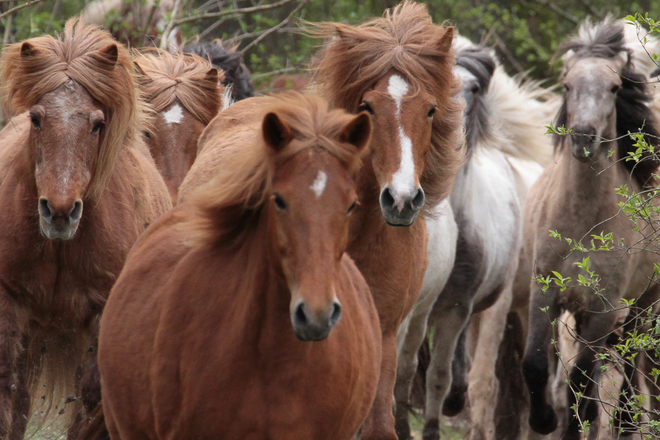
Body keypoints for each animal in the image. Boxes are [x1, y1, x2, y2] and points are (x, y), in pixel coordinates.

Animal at [0, 18, 173, 440]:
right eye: (36, 118)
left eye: (97, 124)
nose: (60, 212)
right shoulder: (8, 304)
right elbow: (7, 397)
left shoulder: (102, 315)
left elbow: (91, 406)